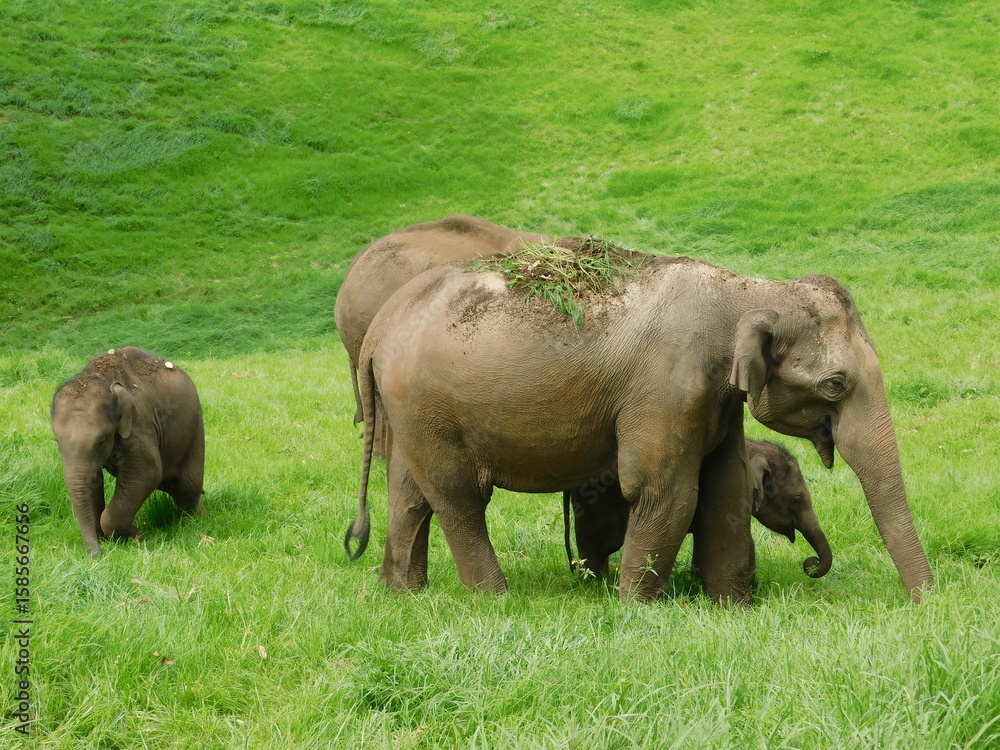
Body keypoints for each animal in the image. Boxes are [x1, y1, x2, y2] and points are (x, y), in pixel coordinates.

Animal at [51, 347, 205, 557]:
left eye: (101, 441)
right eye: (57, 441)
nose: (97, 555)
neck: (100, 377)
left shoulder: (139, 424)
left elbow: (147, 472)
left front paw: (136, 535)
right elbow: (93, 481)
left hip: (194, 430)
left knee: (187, 488)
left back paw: (196, 521)